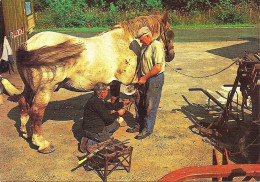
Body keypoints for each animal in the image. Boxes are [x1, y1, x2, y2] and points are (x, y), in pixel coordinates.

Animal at [15, 12, 175, 153]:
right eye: (169, 32)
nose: (171, 55)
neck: (125, 42)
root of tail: (27, 45)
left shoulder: (114, 83)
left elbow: (115, 100)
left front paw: (117, 119)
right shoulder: (131, 82)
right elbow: (134, 101)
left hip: (30, 87)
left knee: (23, 101)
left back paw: (26, 132)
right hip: (44, 90)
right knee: (36, 112)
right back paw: (42, 144)